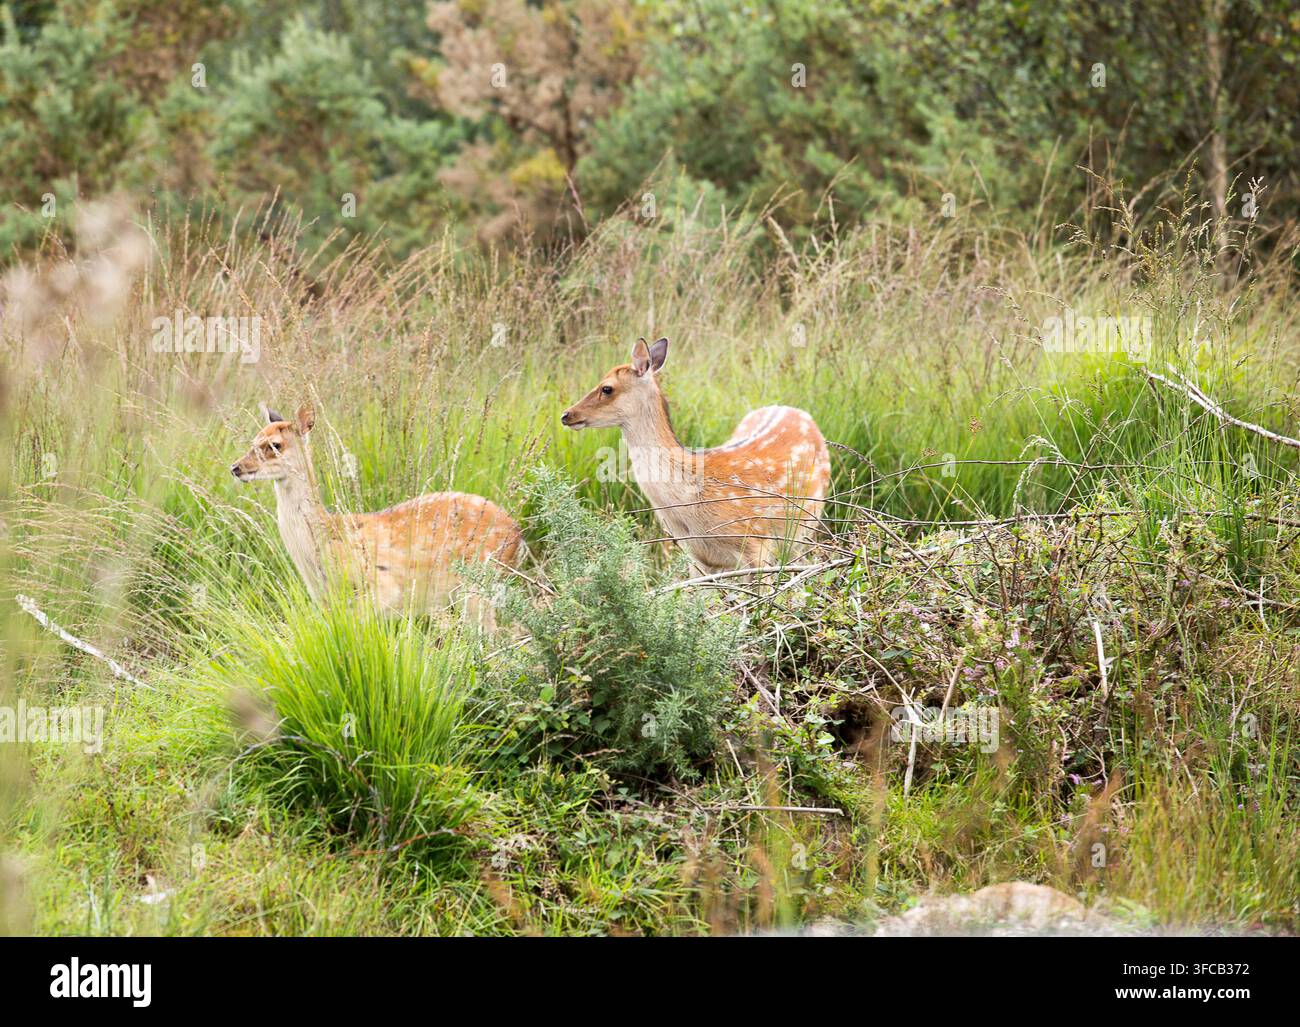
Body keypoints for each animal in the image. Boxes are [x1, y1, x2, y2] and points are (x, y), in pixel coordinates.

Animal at [230, 403, 523, 627]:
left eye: (275, 445)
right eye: (253, 441)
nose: (236, 467)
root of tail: (518, 536)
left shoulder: (384, 587)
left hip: (480, 582)